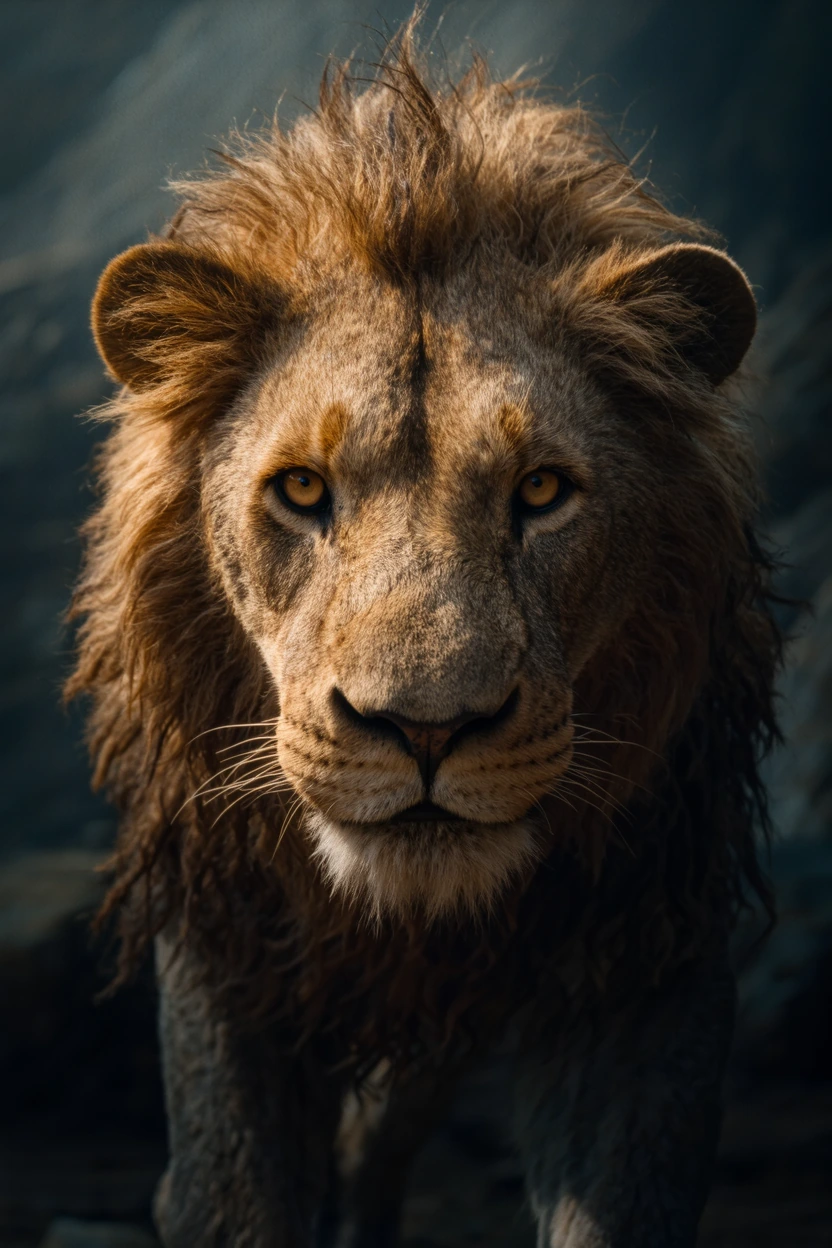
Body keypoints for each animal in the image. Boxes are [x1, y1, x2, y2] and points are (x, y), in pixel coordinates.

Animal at [68, 21, 780, 1248]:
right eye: (302, 489)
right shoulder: (223, 938)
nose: (426, 729)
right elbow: (233, 1188)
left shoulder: (654, 955)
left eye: (542, 491)